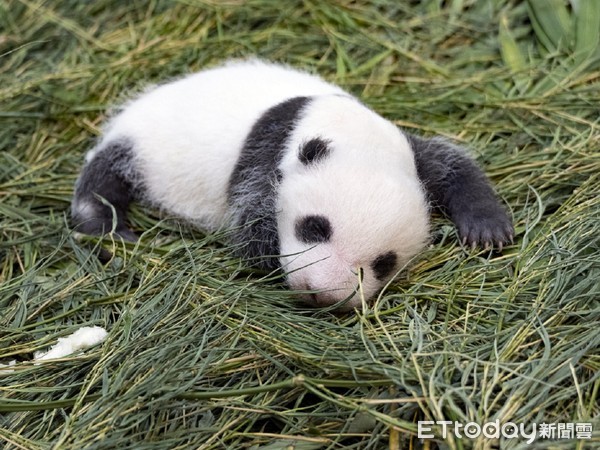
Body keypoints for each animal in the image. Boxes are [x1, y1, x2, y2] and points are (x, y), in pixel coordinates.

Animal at [70, 59, 510, 310]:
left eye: (384, 263)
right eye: (314, 227)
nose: (324, 292)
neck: (348, 132)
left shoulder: (409, 154)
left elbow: (452, 165)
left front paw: (487, 229)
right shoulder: (266, 153)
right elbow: (250, 220)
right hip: (142, 144)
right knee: (104, 178)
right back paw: (108, 231)